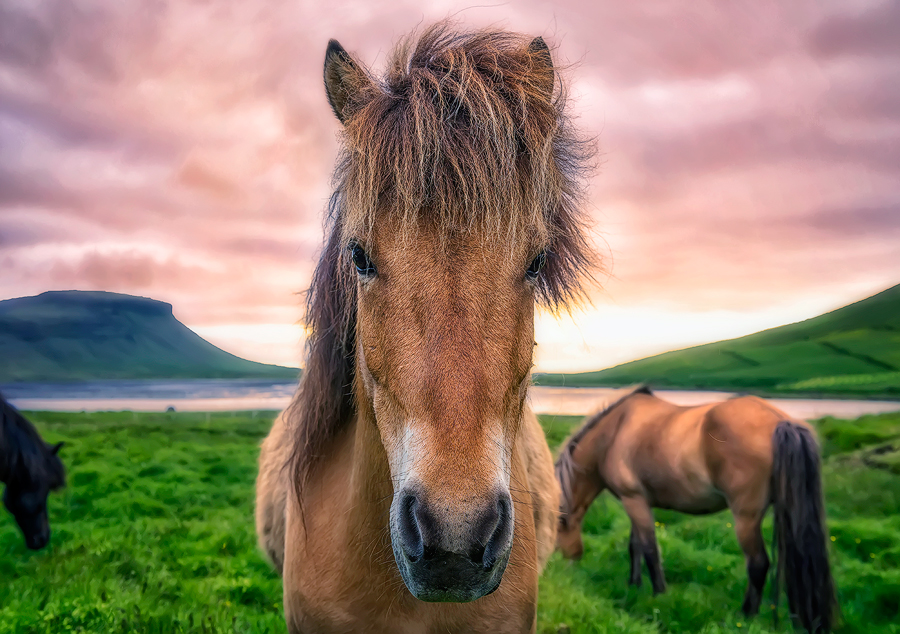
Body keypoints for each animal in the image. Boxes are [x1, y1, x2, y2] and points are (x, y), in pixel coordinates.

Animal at [555, 386, 838, 634]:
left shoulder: (633, 500)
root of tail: (781, 421)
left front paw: (659, 596)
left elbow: (650, 551)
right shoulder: (636, 501)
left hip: (746, 517)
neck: (613, 433)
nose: (567, 565)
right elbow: (635, 546)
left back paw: (746, 616)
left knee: (758, 564)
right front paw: (633, 585)